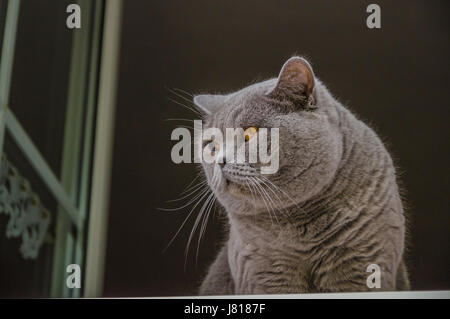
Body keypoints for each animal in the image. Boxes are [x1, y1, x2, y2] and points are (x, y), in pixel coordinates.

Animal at [192, 55, 410, 296]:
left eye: (249, 133)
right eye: (212, 146)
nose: (220, 159)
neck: (299, 220)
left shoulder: (364, 263)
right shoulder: (263, 272)